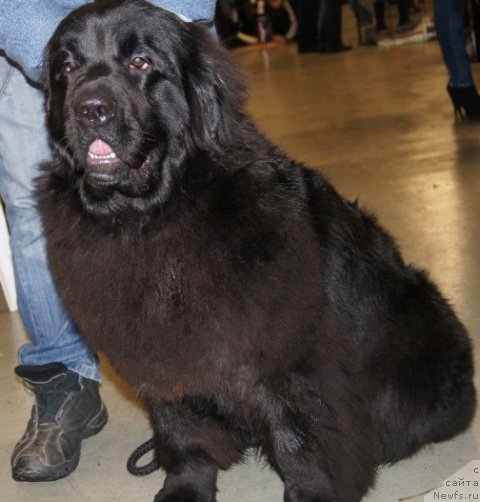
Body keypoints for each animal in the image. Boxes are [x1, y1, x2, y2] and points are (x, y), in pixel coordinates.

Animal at [40, 0, 476, 502]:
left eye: (141, 63)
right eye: (66, 69)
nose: (90, 108)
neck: (152, 218)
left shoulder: (289, 360)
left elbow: (301, 442)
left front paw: (311, 493)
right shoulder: (167, 354)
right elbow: (183, 431)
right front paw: (185, 486)